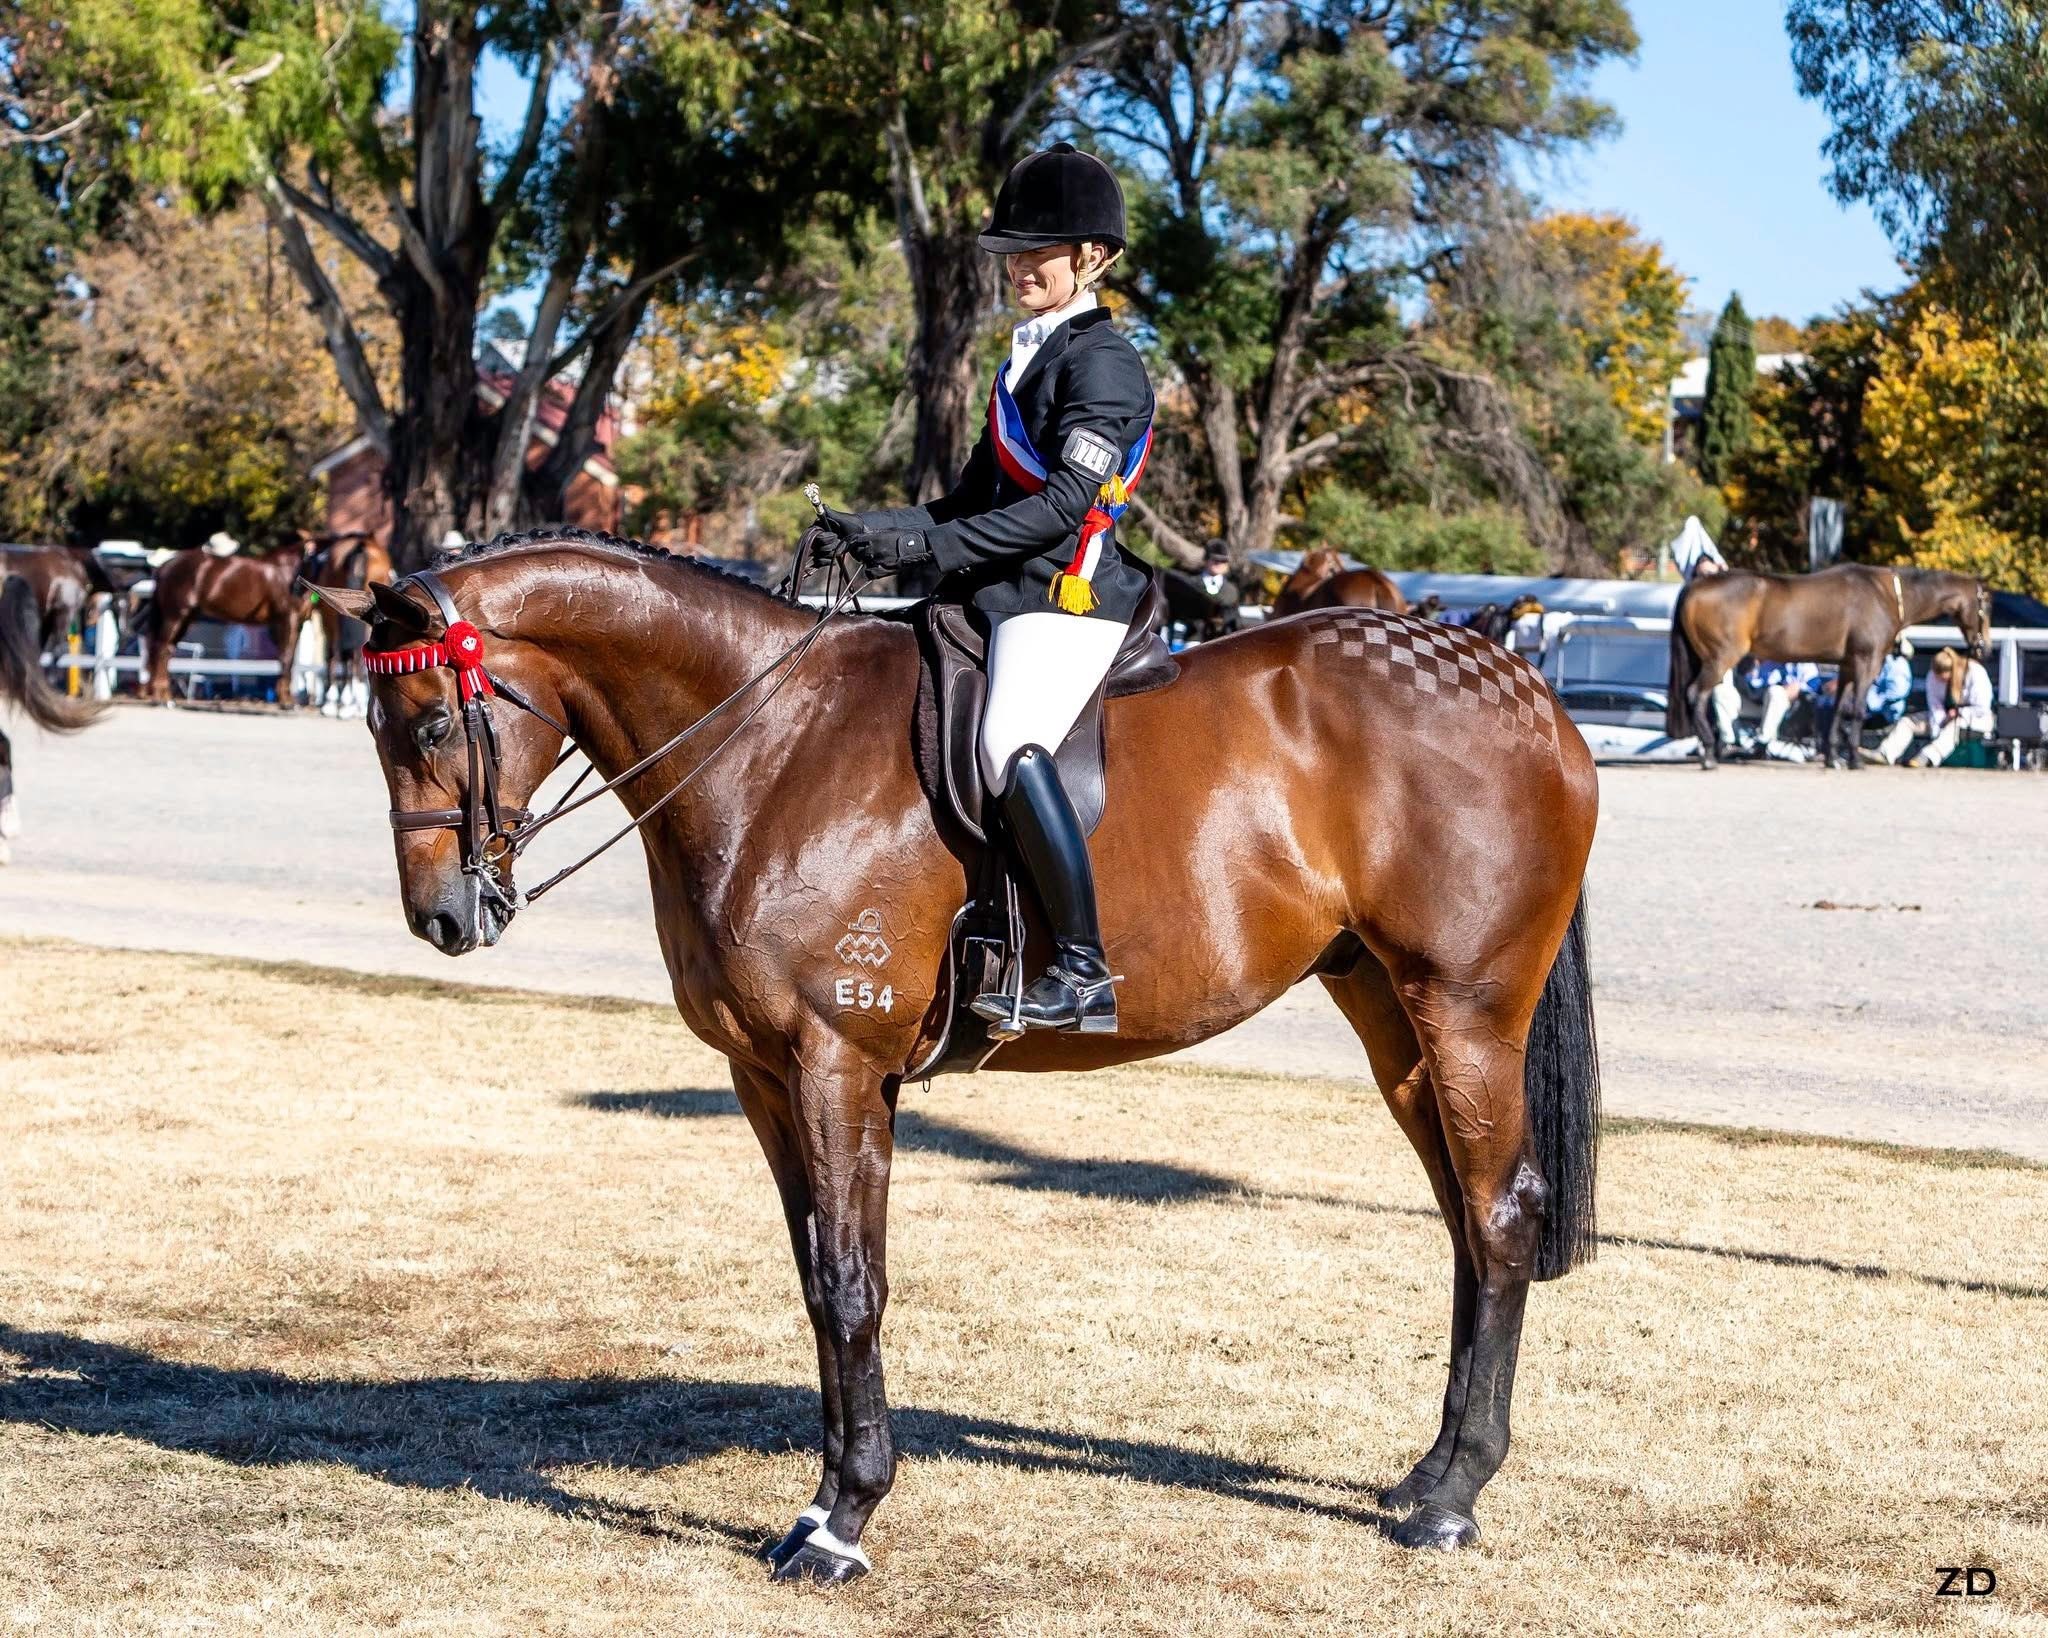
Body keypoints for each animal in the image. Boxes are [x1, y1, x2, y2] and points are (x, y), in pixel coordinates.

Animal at [137, 539, 312, 705]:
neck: (287, 572)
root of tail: (164, 566)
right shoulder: (287, 619)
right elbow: (286, 657)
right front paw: (287, 702)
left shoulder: (296, 624)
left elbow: (288, 659)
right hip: (174, 616)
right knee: (161, 649)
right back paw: (162, 698)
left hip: (185, 619)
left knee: (166, 650)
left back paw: (165, 696)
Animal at [1665, 565, 1990, 769]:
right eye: (1985, 605)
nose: (1983, 648)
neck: (1885, 595)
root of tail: (1696, 584)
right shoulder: (1867, 663)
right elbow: (1856, 710)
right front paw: (1855, 760)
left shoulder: (1846, 667)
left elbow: (1836, 710)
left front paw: (1834, 758)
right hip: (1721, 658)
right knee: (1696, 695)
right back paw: (1709, 754)